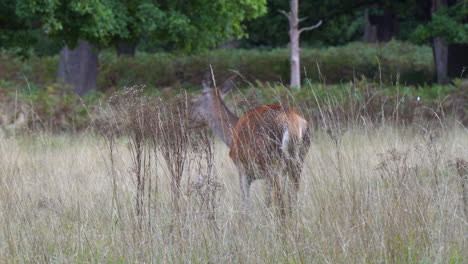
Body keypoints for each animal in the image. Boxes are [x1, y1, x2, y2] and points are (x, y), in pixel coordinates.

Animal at [190, 74, 310, 214]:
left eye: (195, 99)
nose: (188, 116)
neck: (231, 136)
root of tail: (292, 123)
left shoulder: (242, 169)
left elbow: (245, 204)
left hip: (272, 163)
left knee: (281, 203)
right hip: (297, 161)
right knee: (292, 200)